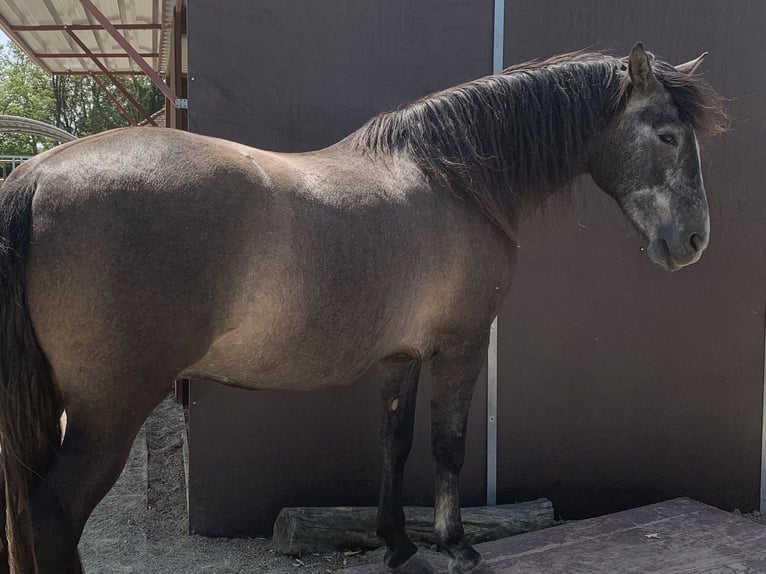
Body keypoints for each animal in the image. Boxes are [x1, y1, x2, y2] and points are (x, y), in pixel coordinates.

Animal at [0, 41, 728, 574]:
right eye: (667, 135)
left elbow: (394, 443)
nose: (694, 241)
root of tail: (34, 175)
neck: (455, 178)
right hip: (109, 411)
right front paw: (457, 546)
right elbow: (448, 445)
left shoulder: (402, 355)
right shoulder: (463, 345)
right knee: (52, 519)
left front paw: (399, 544)